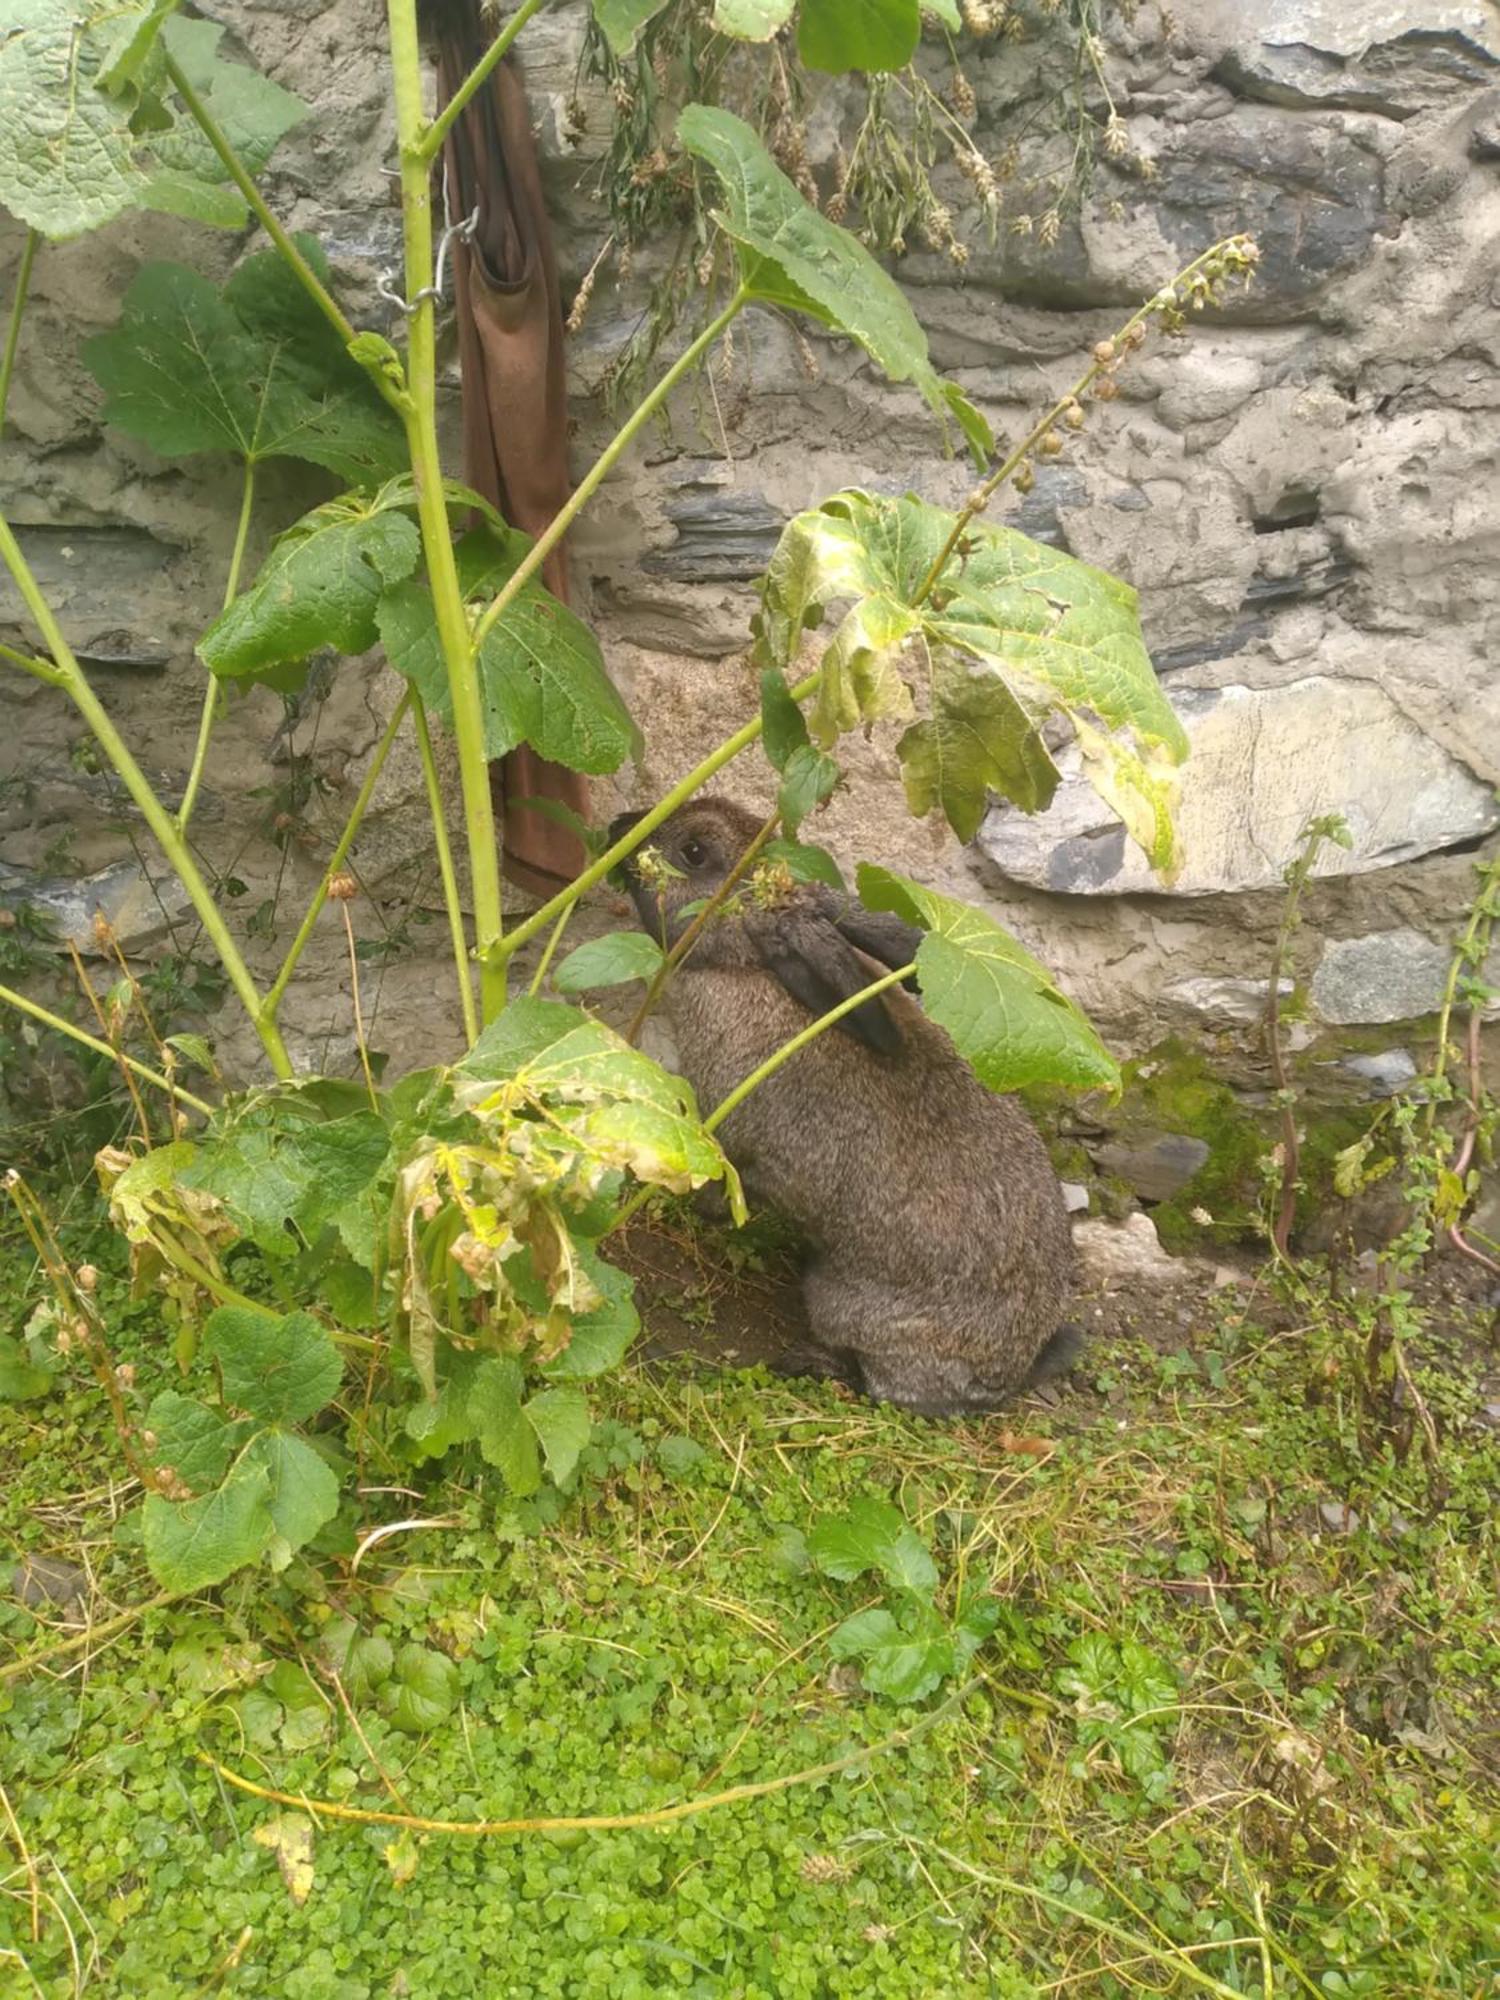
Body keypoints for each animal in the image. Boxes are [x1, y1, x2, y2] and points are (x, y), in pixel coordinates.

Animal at [612, 796, 1080, 1424]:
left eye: (694, 851)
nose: (617, 827)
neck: (744, 967)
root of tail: (1009, 1371)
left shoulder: (738, 1142)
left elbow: (728, 1183)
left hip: (847, 1307)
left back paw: (812, 1361)